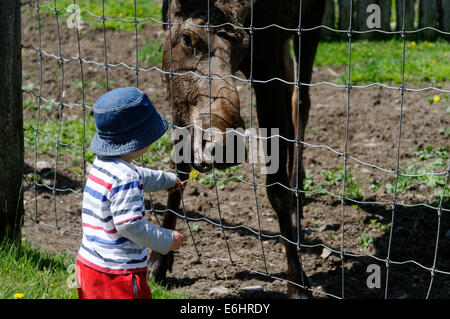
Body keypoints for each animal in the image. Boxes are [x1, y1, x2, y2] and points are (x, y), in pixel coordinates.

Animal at [149, 0, 326, 300]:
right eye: (187, 38)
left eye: (244, 46)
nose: (225, 145)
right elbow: (178, 170)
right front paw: (159, 261)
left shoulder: (266, 60)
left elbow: (276, 190)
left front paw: (298, 283)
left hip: (312, 22)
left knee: (301, 100)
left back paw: (297, 196)